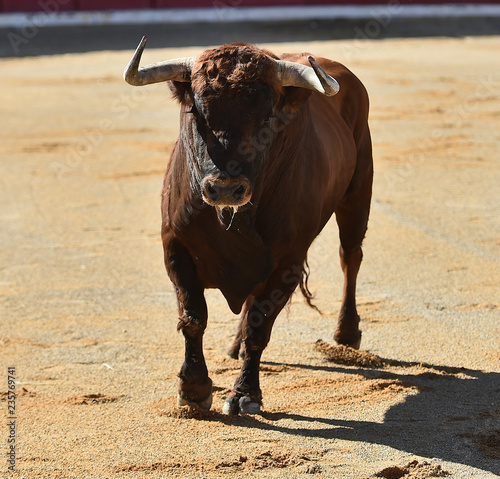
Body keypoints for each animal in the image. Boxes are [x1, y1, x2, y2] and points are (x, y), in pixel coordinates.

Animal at [124, 37, 374, 416]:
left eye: (266, 116)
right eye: (196, 112)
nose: (226, 188)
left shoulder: (287, 261)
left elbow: (261, 323)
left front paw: (245, 393)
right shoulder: (175, 249)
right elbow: (193, 318)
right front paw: (193, 388)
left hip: (357, 194)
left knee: (351, 256)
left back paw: (346, 333)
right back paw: (235, 345)